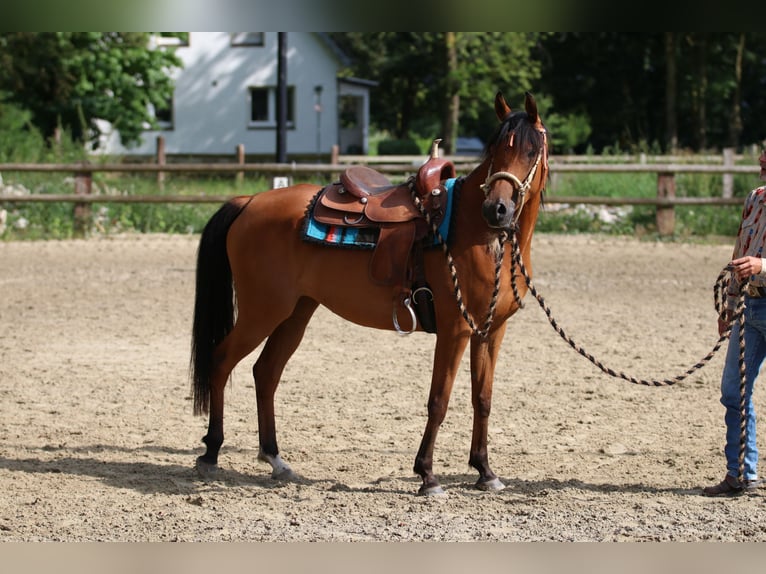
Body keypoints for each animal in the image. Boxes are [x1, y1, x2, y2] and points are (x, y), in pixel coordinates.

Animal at [192, 92, 552, 498]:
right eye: (495, 149)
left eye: (530, 150)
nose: (497, 209)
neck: (476, 233)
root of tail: (249, 201)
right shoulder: (455, 329)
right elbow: (439, 400)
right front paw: (427, 475)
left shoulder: (491, 331)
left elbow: (483, 399)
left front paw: (485, 471)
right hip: (262, 311)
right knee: (221, 361)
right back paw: (211, 452)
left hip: (295, 312)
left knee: (266, 372)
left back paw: (276, 459)